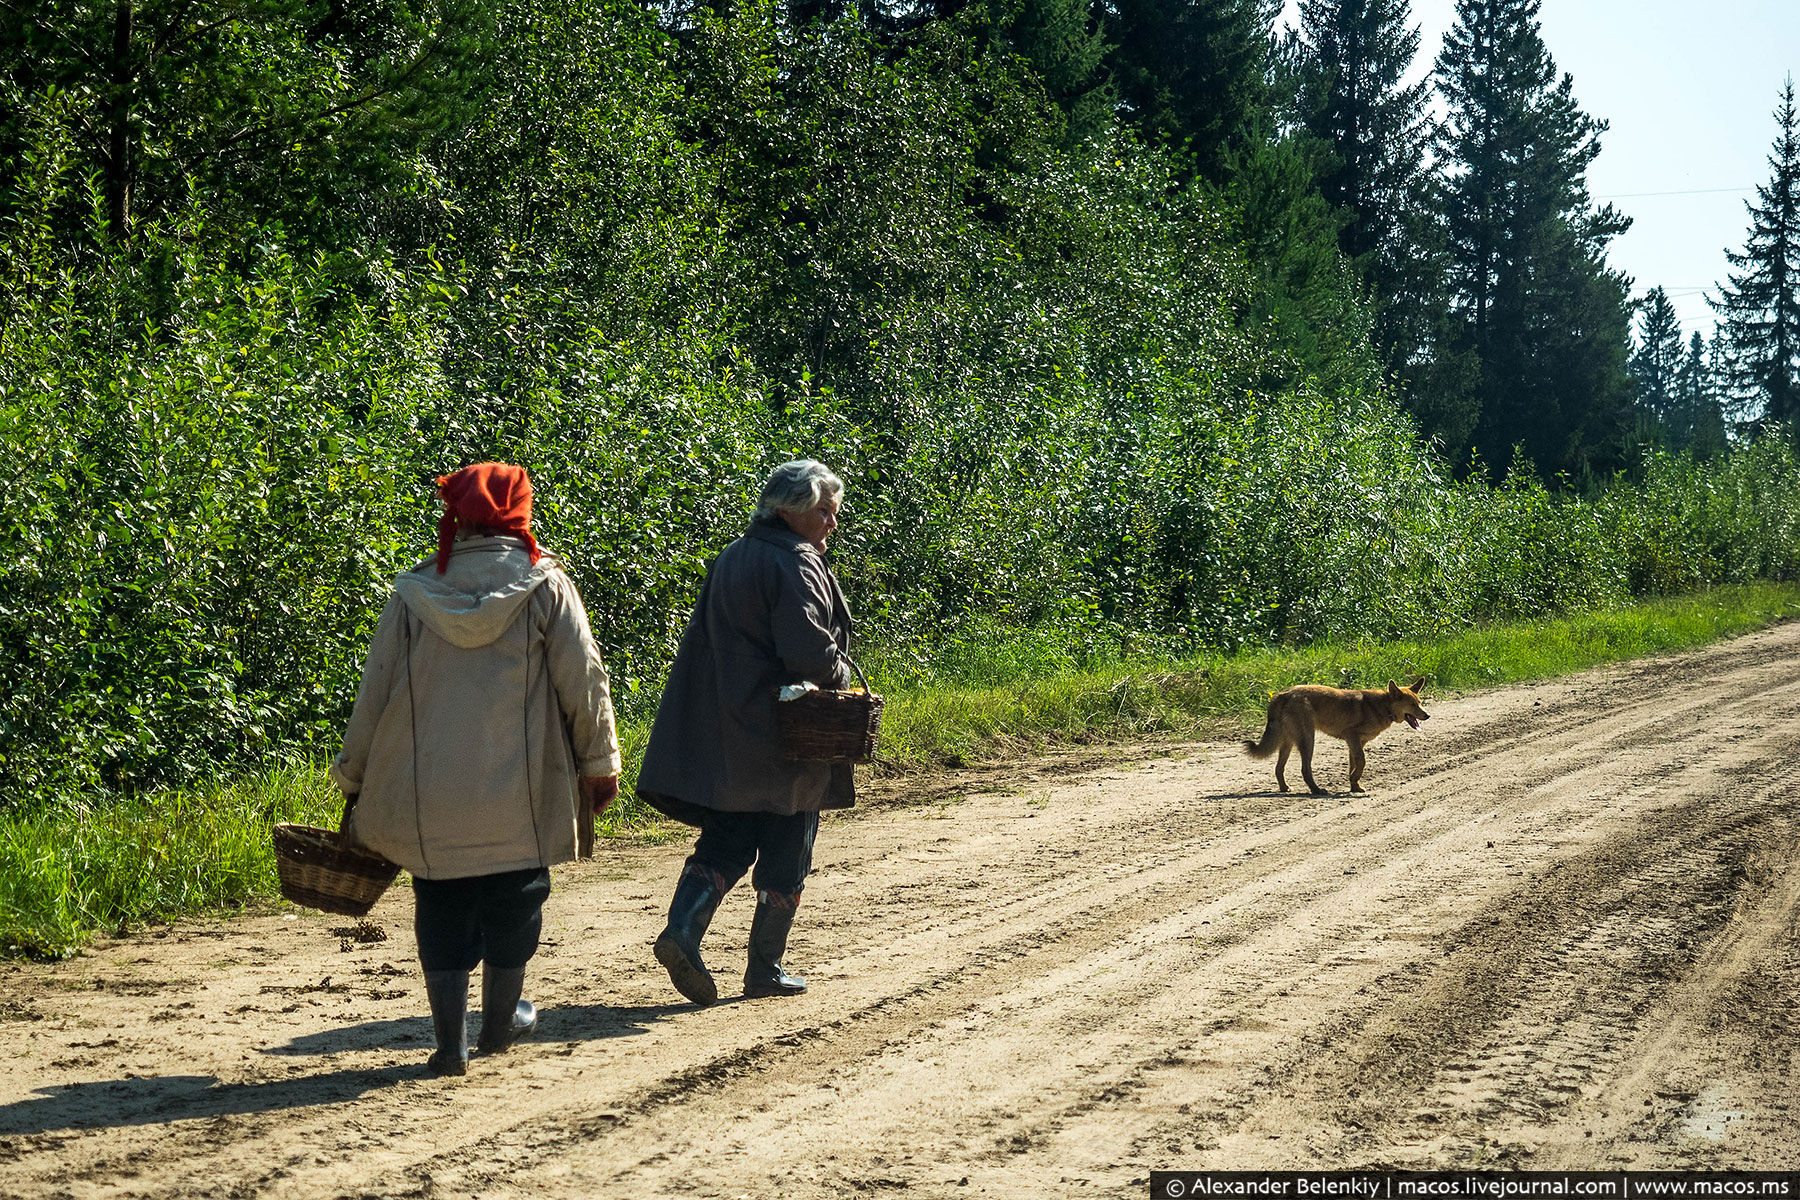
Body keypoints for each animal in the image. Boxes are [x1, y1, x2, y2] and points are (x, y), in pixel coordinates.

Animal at [1245, 676, 1425, 798]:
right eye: (1412, 704)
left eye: (1420, 702)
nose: (1428, 715)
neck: (1383, 706)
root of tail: (1283, 694)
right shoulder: (1352, 737)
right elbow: (1361, 762)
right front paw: (1354, 780)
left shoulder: (1356, 743)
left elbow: (1354, 764)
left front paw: (1354, 786)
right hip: (1308, 740)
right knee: (1305, 769)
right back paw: (1316, 790)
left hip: (1288, 743)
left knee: (1278, 768)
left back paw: (1284, 788)